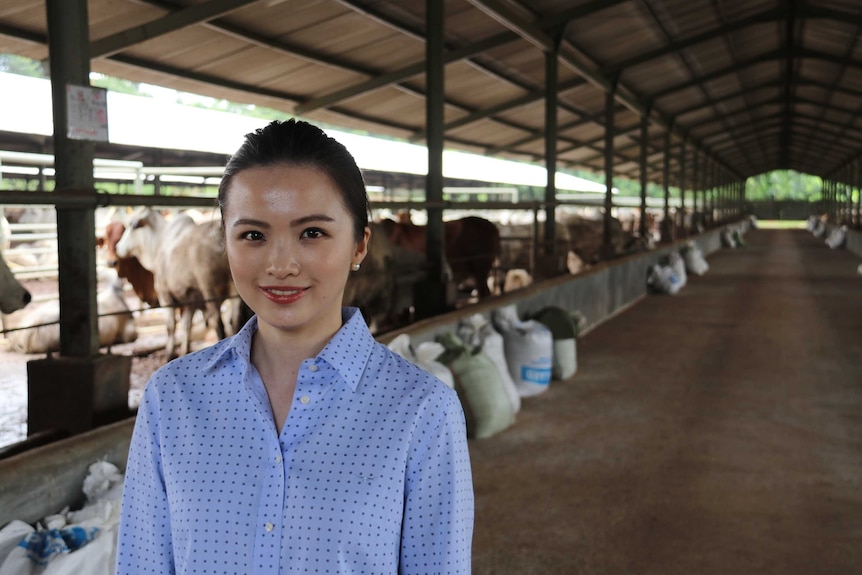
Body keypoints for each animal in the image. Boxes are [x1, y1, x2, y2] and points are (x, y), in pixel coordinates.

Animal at [116, 207, 236, 360]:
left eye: (132, 226)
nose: (118, 247)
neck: (159, 242)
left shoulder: (164, 294)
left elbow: (170, 325)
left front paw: (169, 353)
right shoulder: (191, 299)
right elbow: (186, 325)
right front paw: (185, 350)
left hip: (209, 288)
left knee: (218, 321)